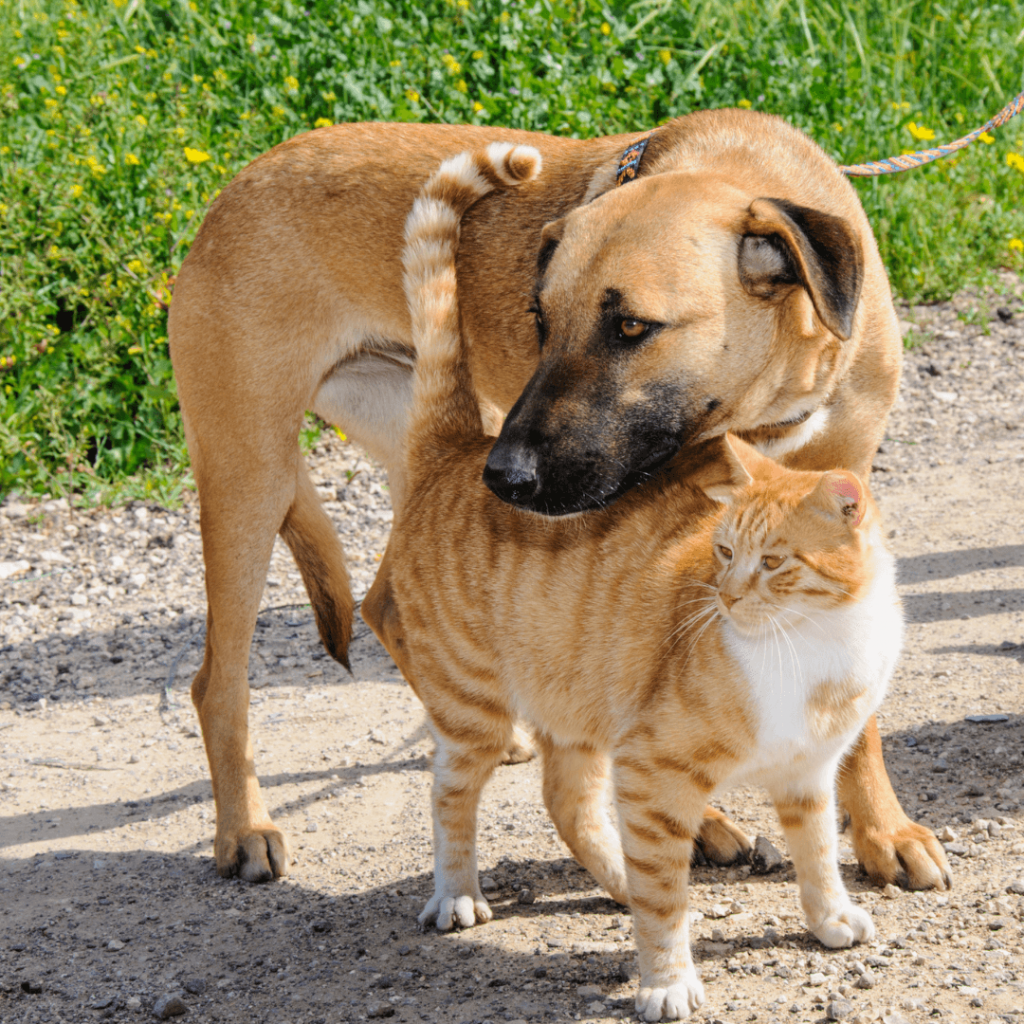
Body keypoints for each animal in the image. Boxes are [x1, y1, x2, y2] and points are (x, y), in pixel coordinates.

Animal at [169, 110, 950, 888]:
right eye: (539, 318)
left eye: (630, 326)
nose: (505, 478)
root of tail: (229, 193)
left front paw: (882, 828)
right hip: (252, 476)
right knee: (217, 681)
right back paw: (245, 828)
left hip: (421, 434)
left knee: (384, 600)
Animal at [370, 142, 905, 1015]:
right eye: (539, 321)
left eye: (630, 328)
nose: (508, 480)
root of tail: (454, 450)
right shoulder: (655, 768)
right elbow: (667, 898)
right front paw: (667, 980)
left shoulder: (804, 774)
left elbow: (820, 850)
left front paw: (836, 911)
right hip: (477, 701)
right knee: (449, 785)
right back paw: (457, 893)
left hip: (579, 687)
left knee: (564, 792)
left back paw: (615, 877)